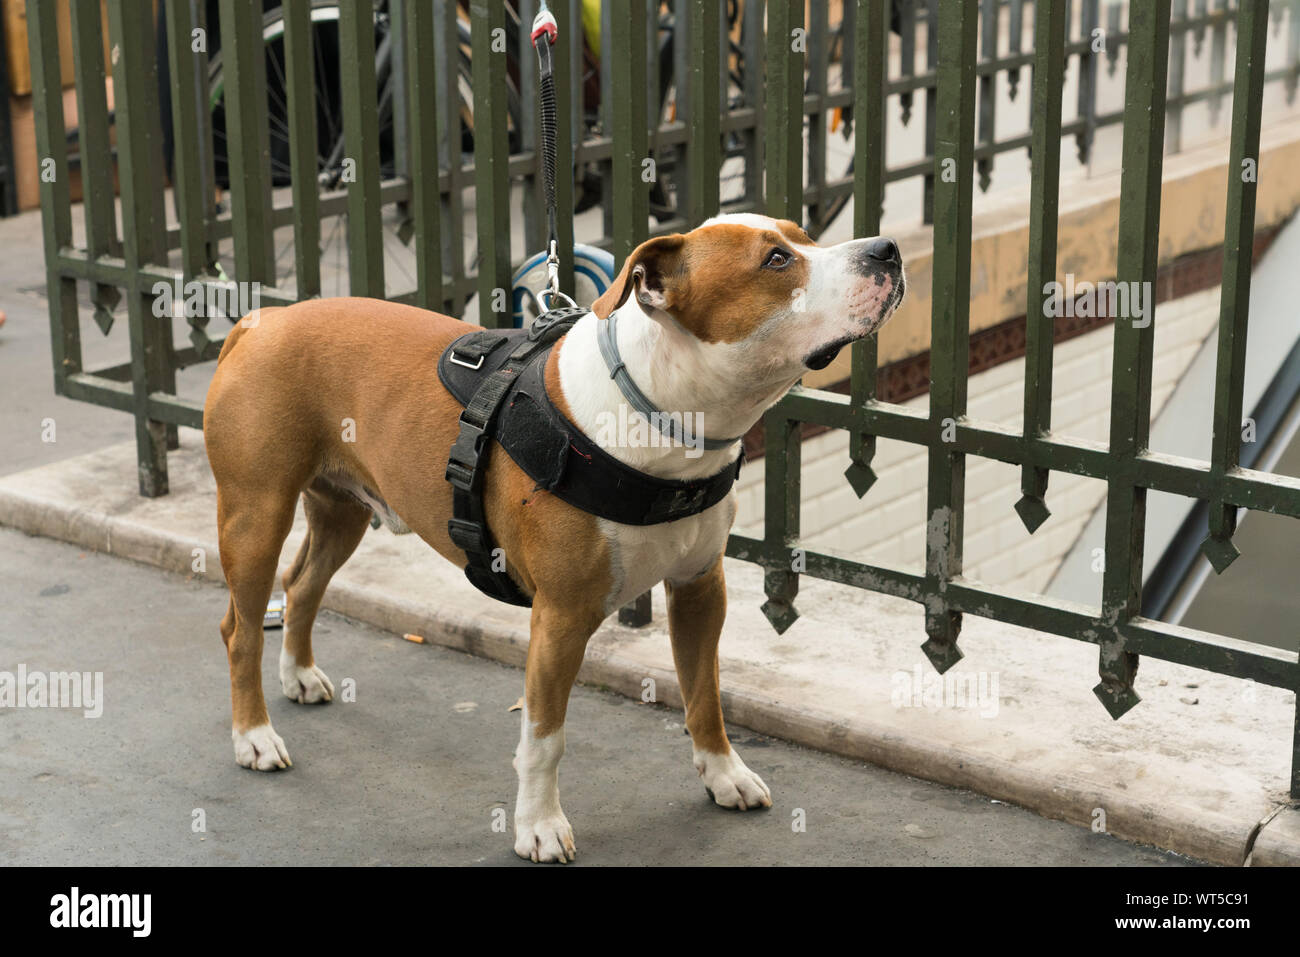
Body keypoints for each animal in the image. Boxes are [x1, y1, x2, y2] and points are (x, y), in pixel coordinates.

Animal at [202, 213, 904, 863]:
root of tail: (261, 320)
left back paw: (298, 676)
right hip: (255, 514)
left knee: (302, 586)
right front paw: (538, 826)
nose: (887, 249)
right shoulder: (561, 617)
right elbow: (545, 737)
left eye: (804, 235)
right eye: (777, 260)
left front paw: (724, 774)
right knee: (239, 627)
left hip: (339, 510)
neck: (662, 413)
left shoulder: (700, 588)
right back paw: (253, 736)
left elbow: (705, 693)